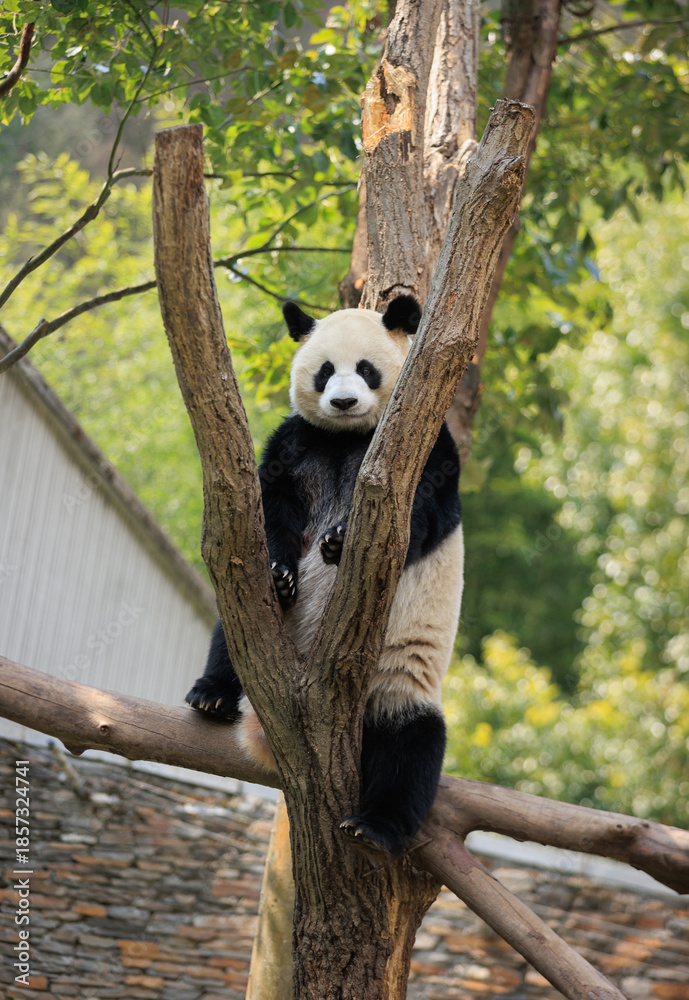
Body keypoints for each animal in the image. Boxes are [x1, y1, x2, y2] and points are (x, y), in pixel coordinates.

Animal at [186, 294, 464, 856]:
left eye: (367, 369)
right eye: (325, 371)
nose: (343, 401)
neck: (347, 439)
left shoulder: (425, 448)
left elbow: (422, 513)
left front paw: (338, 539)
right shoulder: (299, 442)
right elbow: (270, 506)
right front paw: (282, 571)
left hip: (393, 679)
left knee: (410, 741)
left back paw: (375, 827)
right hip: (260, 624)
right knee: (232, 636)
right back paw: (213, 693)